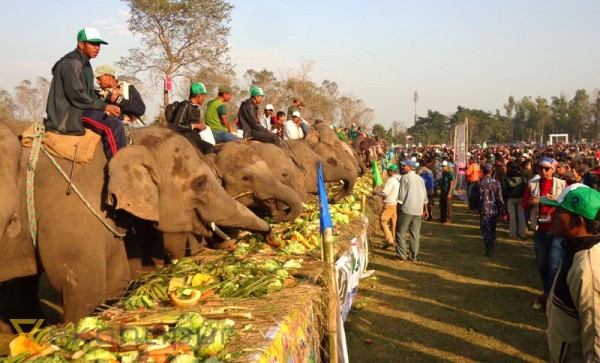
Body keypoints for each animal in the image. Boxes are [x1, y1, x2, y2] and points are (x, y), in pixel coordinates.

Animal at [0, 123, 268, 324]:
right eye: (201, 183)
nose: (269, 233)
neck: (129, 143)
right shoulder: (73, 216)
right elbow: (84, 289)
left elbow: (116, 283)